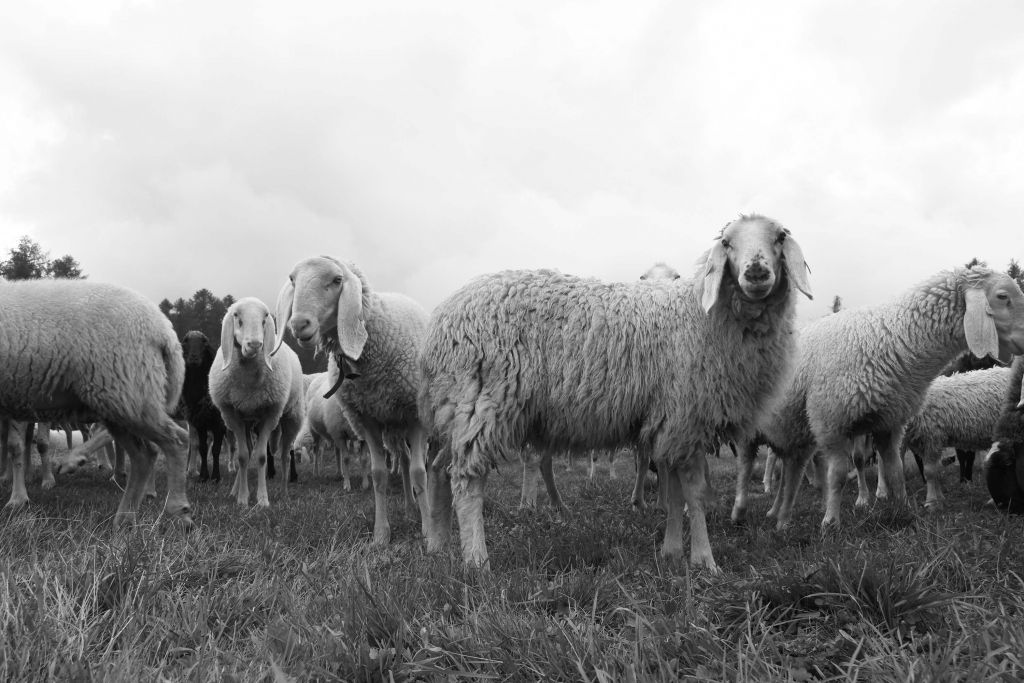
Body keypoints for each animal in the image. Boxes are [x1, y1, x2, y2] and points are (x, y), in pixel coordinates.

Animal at [206, 296, 303, 507]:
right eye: (236, 316)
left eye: (265, 317)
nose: (255, 344)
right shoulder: (232, 415)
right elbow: (243, 456)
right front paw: (242, 498)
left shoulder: (270, 414)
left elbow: (261, 457)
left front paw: (262, 500)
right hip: (248, 420)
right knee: (249, 451)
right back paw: (234, 491)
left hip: (292, 416)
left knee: (285, 454)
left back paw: (284, 493)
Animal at [272, 255, 428, 544]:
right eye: (292, 280)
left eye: (337, 280)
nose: (298, 325)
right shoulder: (367, 420)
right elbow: (378, 474)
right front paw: (381, 534)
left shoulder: (416, 418)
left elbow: (419, 472)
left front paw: (430, 533)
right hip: (393, 424)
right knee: (402, 459)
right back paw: (410, 506)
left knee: (417, 463)